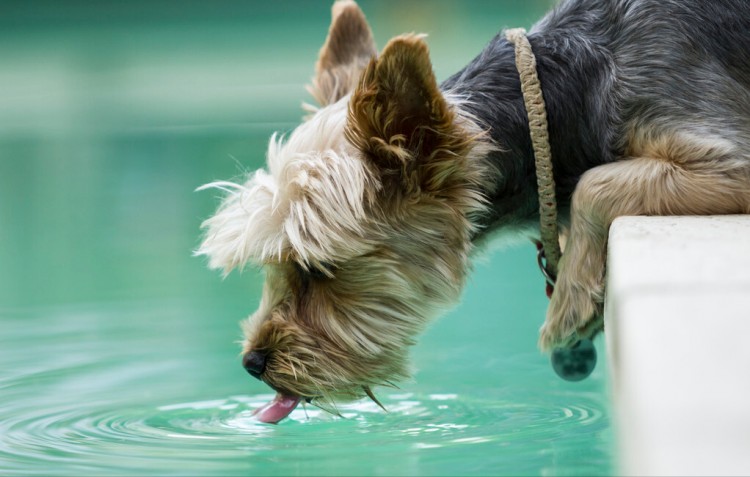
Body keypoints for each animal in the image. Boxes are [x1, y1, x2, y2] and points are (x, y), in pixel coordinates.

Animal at [197, 0, 750, 420]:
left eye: (318, 269)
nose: (252, 363)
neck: (547, 108)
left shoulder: (731, 159)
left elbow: (592, 185)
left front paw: (567, 305)